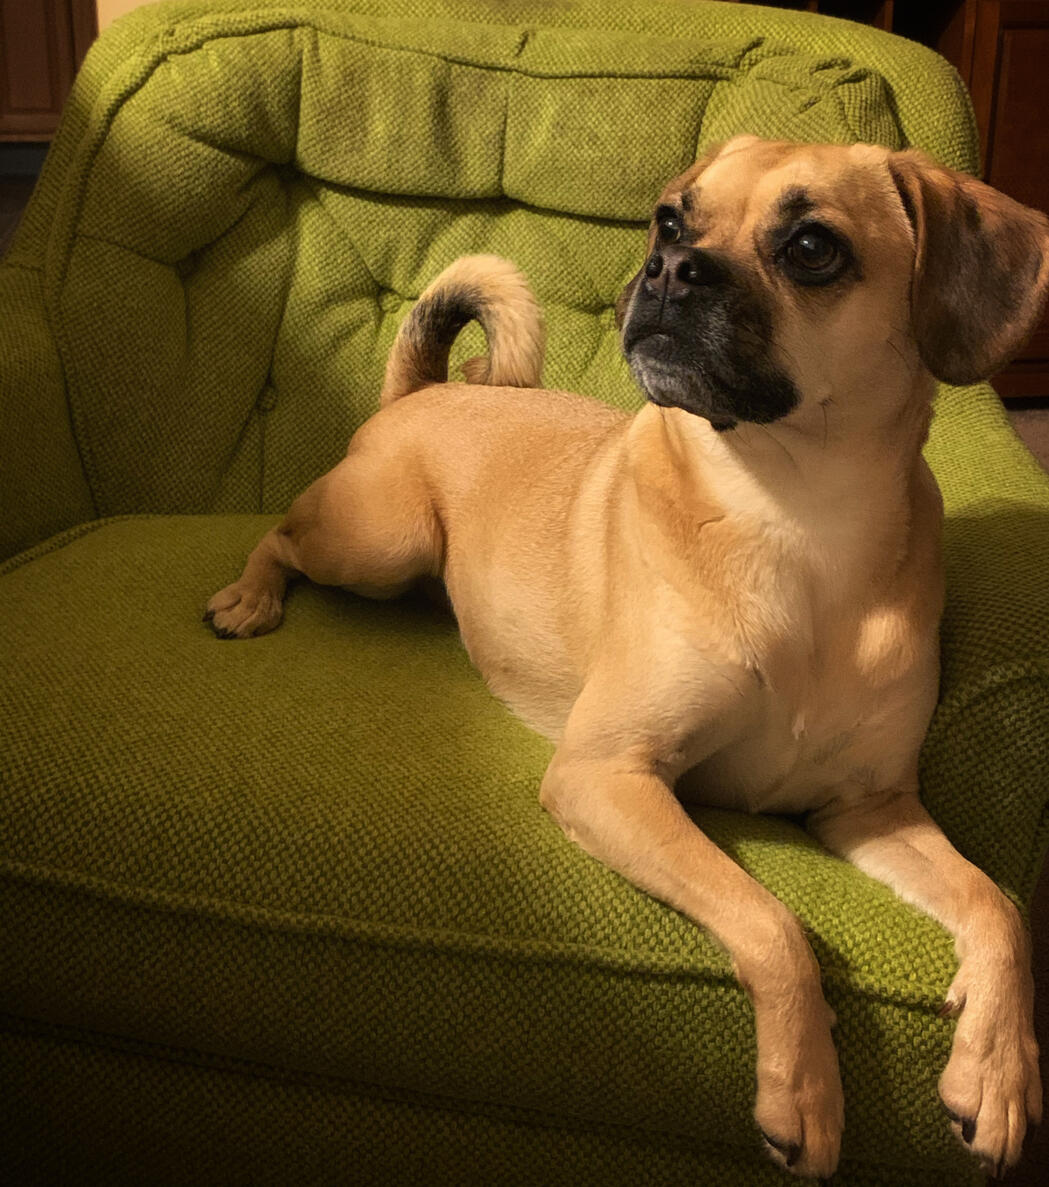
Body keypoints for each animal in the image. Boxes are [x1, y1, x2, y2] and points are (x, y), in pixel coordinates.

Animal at [205, 136, 1049, 1178]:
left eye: (812, 247)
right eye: (671, 219)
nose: (668, 268)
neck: (793, 517)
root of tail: (435, 389)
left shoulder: (869, 808)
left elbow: (995, 907)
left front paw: (998, 1068)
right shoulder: (606, 775)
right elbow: (773, 922)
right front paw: (803, 1091)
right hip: (379, 537)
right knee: (280, 536)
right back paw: (249, 597)